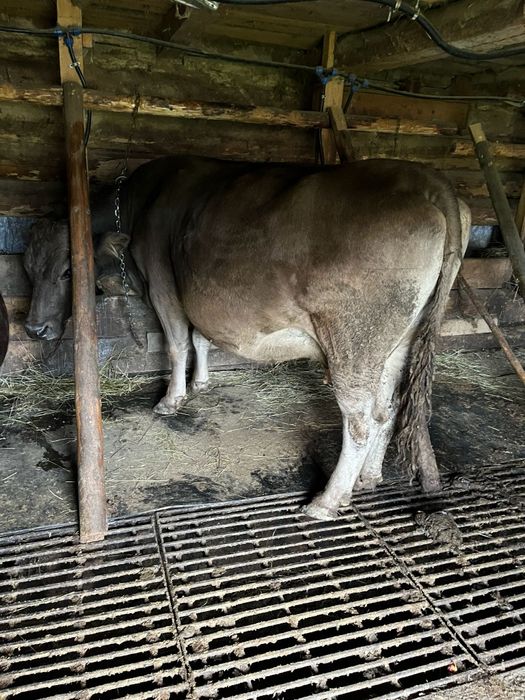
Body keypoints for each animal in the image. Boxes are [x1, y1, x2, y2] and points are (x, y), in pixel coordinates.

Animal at [24, 156, 471, 519]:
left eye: (67, 270)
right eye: (27, 265)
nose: (33, 329)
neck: (140, 204)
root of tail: (428, 179)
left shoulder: (163, 285)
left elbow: (177, 342)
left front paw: (171, 399)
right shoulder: (195, 293)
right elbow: (200, 338)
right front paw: (201, 383)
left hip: (353, 344)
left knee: (361, 420)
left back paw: (327, 500)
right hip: (398, 342)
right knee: (388, 408)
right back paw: (370, 477)